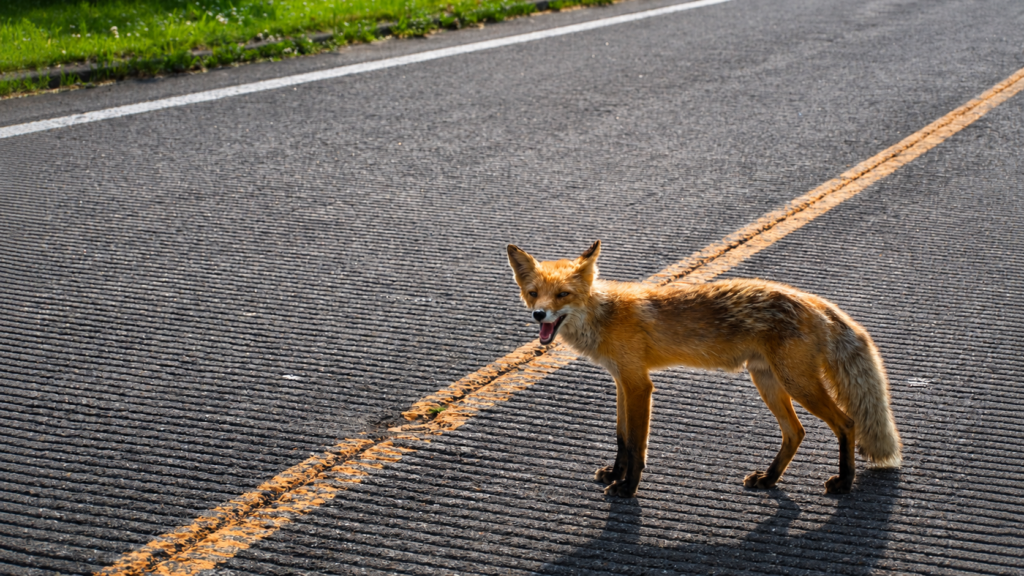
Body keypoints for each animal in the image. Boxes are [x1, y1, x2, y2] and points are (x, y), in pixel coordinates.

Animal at [507, 240, 901, 498]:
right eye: (533, 292)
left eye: (563, 295)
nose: (539, 315)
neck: (606, 316)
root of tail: (813, 300)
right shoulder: (622, 380)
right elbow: (621, 439)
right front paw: (615, 475)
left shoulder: (639, 385)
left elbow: (636, 446)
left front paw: (628, 487)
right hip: (768, 380)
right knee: (796, 432)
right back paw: (769, 479)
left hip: (797, 382)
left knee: (846, 423)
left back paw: (844, 483)